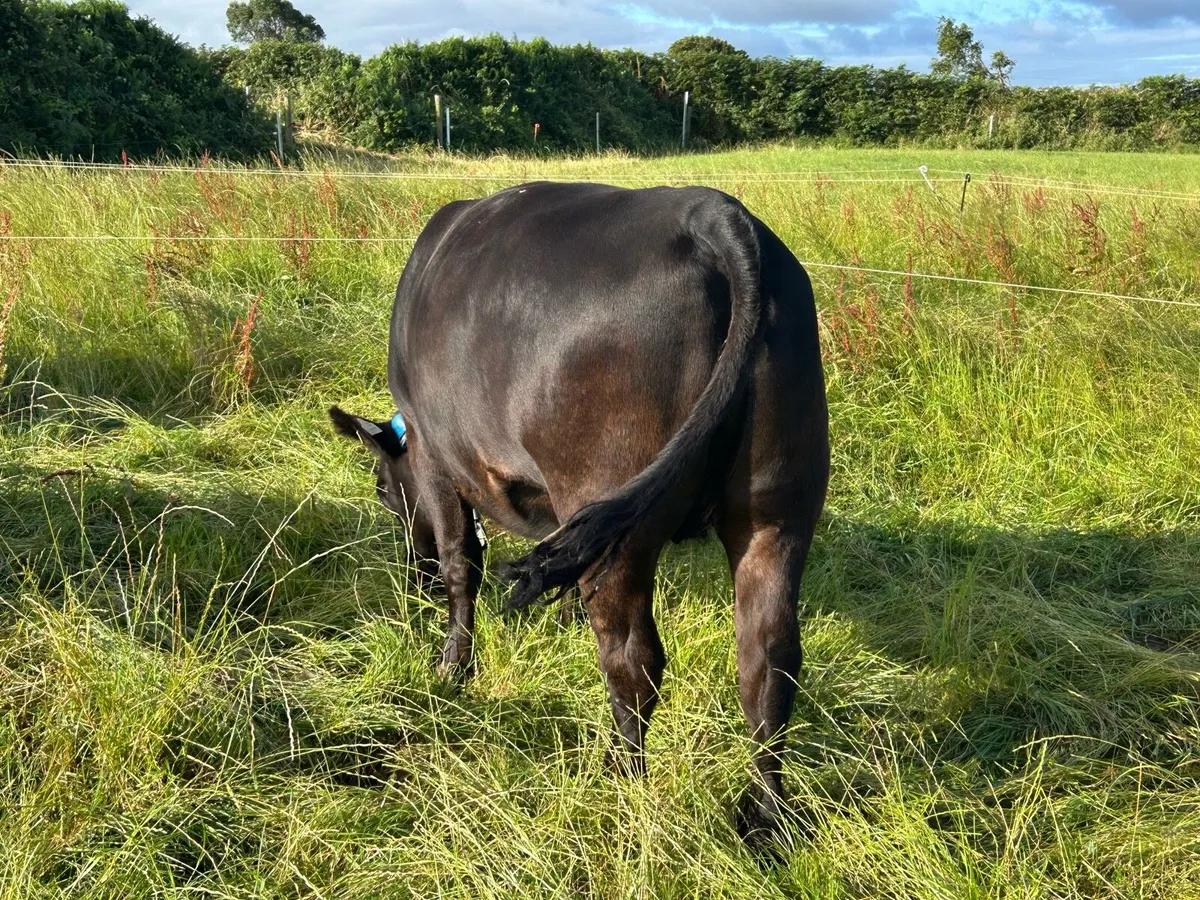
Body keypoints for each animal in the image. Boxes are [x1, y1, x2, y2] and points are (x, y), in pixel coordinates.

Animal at [330, 181, 829, 843]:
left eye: (383, 489)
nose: (415, 577)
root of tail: (717, 216)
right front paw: (560, 616)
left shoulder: (439, 458)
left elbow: (464, 564)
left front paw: (453, 665)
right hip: (778, 509)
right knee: (768, 662)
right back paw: (765, 818)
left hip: (613, 501)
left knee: (634, 661)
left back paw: (621, 780)